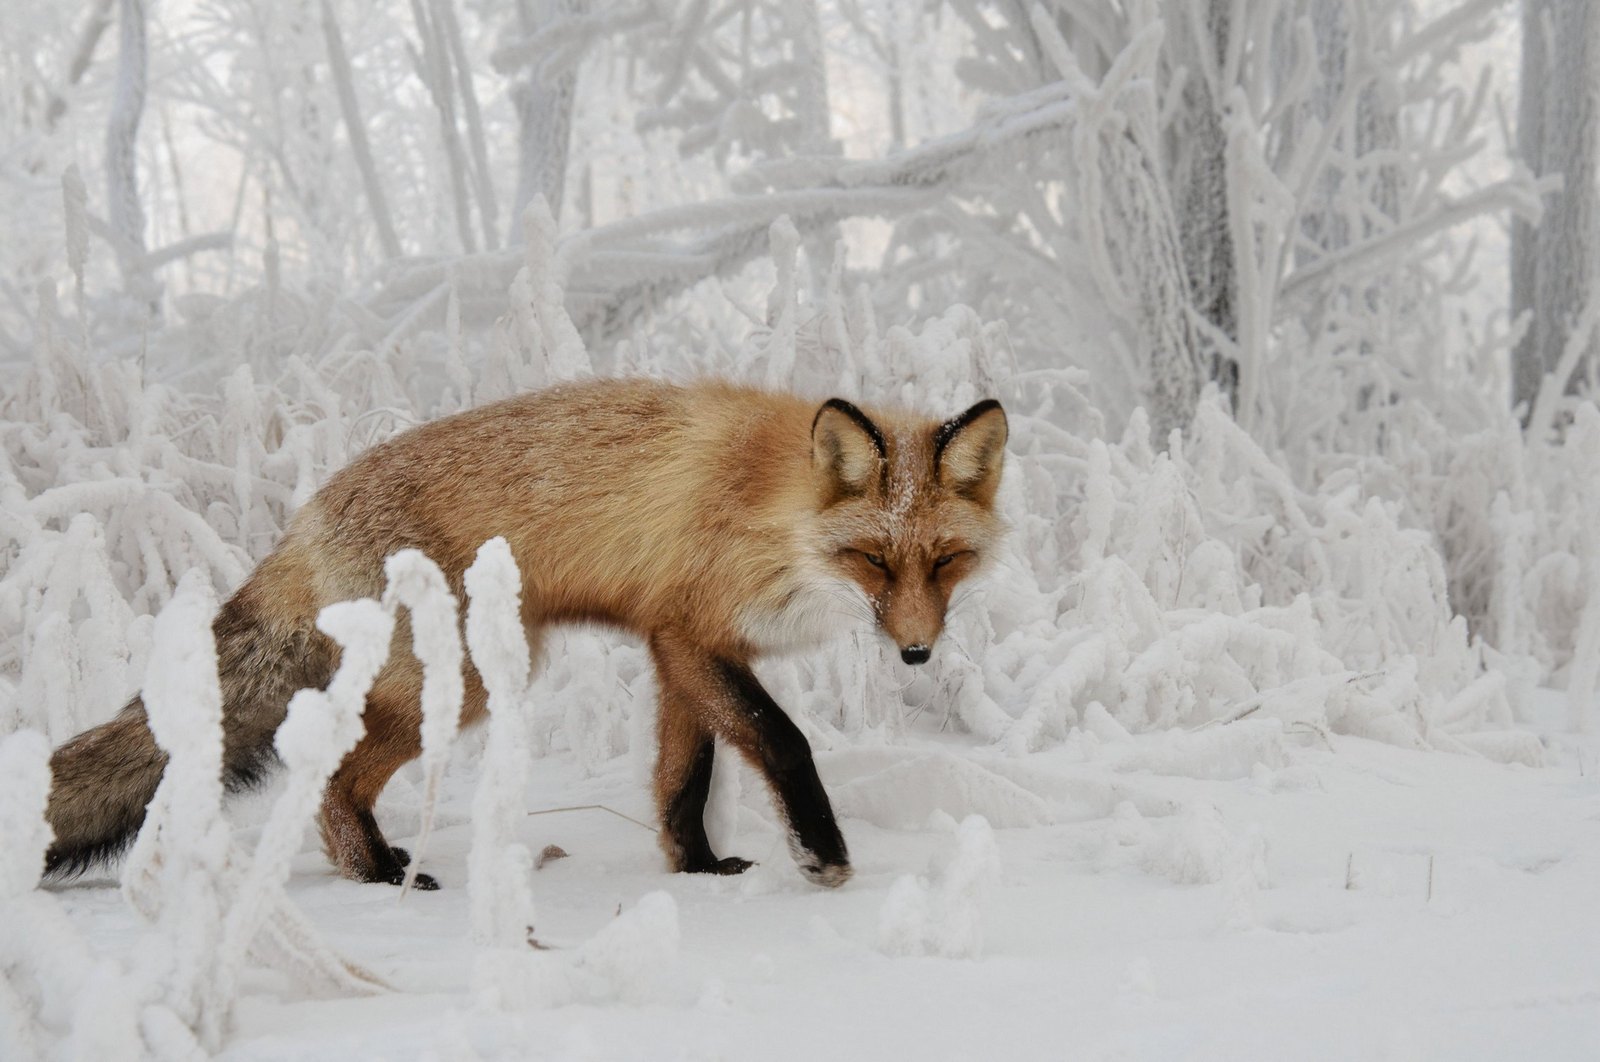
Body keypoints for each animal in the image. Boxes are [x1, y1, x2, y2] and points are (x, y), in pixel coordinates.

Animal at [43, 377, 1004, 889]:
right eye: (874, 560)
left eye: (946, 560)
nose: (917, 651)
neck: (777, 517)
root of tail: (305, 515)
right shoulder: (693, 637)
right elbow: (784, 741)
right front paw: (822, 853)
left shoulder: (680, 646)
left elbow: (681, 782)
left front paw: (696, 869)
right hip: (461, 681)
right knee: (329, 778)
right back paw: (378, 875)